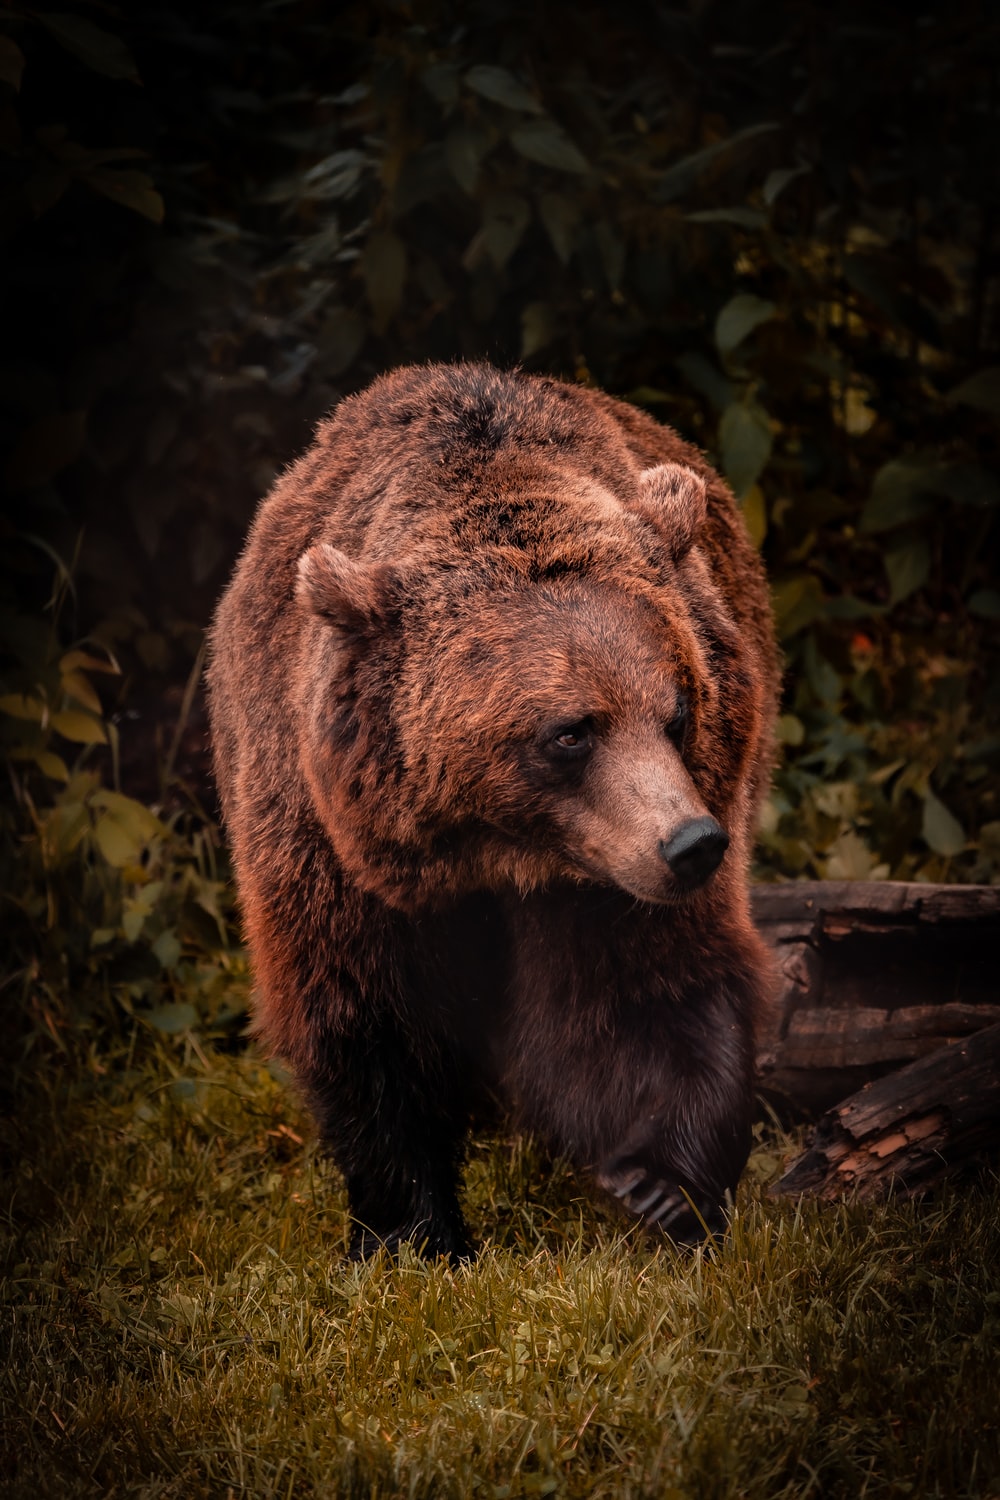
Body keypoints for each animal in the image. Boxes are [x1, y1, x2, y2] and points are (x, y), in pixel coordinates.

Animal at [207, 362, 779, 1260]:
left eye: (678, 709)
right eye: (571, 731)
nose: (692, 844)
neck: (498, 852)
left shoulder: (612, 870)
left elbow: (647, 989)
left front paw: (660, 1186)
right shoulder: (328, 842)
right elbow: (368, 1018)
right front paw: (412, 1230)